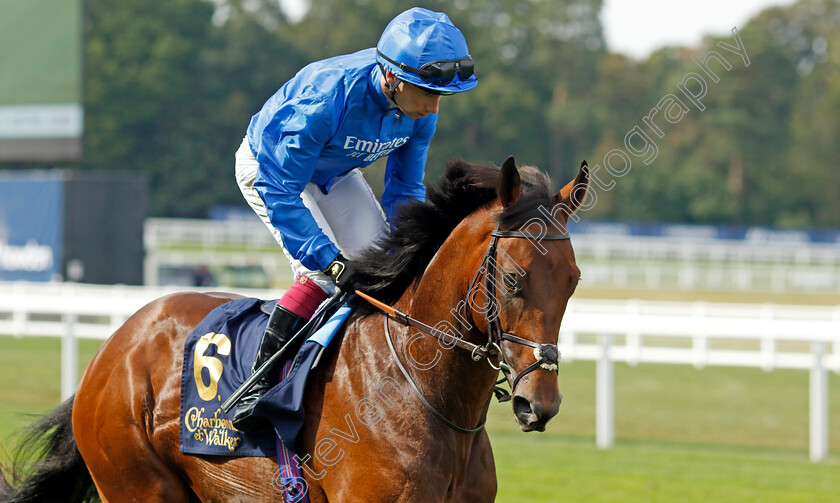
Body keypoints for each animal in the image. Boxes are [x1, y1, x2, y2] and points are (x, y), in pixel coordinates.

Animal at [3, 156, 588, 502]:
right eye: (512, 279)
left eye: (574, 280)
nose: (540, 403)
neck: (419, 388)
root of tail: (114, 347)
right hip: (137, 483)